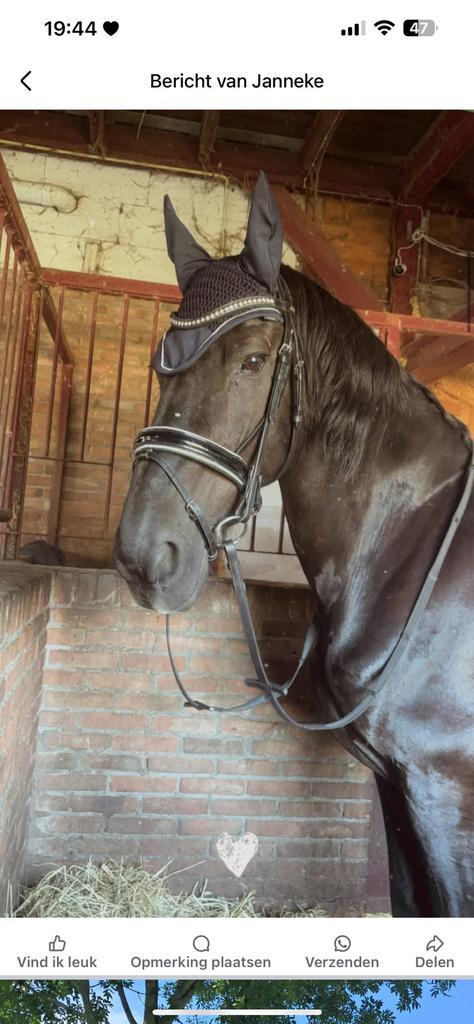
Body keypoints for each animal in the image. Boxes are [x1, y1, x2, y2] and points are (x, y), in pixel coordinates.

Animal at [115, 172, 474, 917]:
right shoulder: (396, 791)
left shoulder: (445, 794)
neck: (413, 551)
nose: (144, 556)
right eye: (162, 366)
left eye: (253, 361)